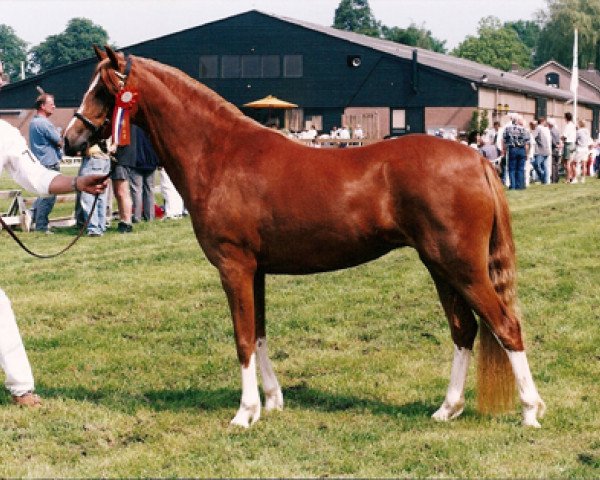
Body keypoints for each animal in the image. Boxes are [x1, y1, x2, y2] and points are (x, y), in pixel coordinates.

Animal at [63, 47, 548, 428]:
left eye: (104, 89)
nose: (71, 138)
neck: (219, 154)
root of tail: (477, 159)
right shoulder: (255, 271)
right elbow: (258, 333)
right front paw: (272, 401)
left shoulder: (234, 267)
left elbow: (242, 337)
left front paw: (245, 413)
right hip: (440, 266)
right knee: (465, 329)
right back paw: (448, 409)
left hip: (461, 266)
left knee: (505, 325)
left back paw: (529, 411)